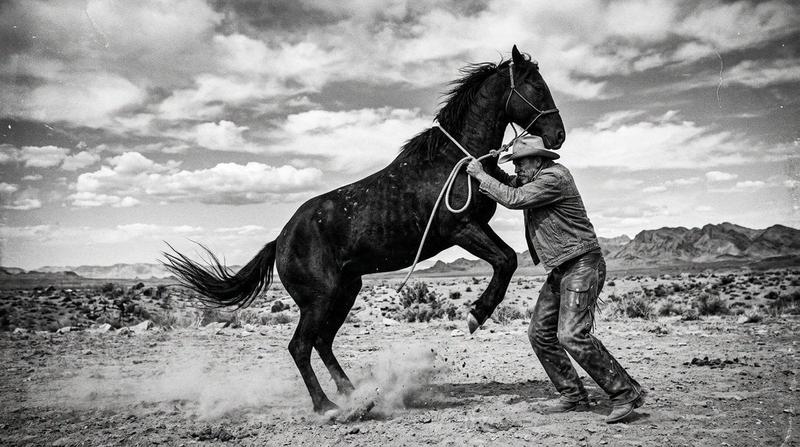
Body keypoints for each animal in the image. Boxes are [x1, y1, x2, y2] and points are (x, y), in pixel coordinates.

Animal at [164, 45, 565, 413]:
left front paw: (476, 313)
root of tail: (280, 240)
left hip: (345, 291)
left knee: (322, 343)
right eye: (536, 85)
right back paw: (327, 407)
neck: (454, 161)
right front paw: (475, 315)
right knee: (301, 346)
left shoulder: (474, 227)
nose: (558, 135)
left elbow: (506, 259)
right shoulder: (461, 228)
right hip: (320, 298)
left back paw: (354, 394)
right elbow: (506, 260)